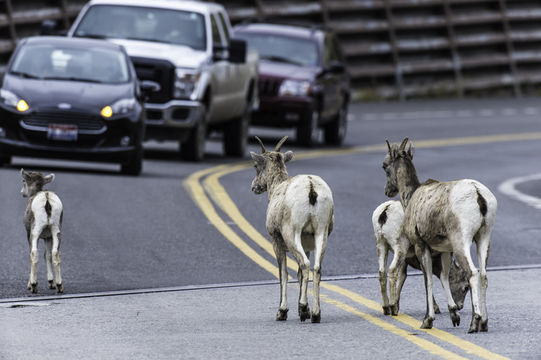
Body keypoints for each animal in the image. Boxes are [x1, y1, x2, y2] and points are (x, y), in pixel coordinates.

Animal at [250, 136, 334, 322]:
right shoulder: (308, 245)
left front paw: (282, 312)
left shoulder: (277, 242)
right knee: (316, 267)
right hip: (321, 233)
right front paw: (305, 311)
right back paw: (315, 314)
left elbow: (283, 274)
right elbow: (300, 275)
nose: (254, 187)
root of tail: (311, 188)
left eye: (256, 166)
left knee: (305, 264)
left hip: (292, 234)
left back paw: (303, 309)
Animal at [382, 139, 496, 334]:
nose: (387, 190)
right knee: (483, 276)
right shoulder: (444, 250)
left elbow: (427, 279)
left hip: (461, 241)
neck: (411, 197)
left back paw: (474, 323)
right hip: (484, 238)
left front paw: (427, 320)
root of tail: (478, 195)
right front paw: (454, 315)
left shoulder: (421, 245)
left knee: (472, 273)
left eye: (384, 166)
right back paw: (484, 323)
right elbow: (443, 277)